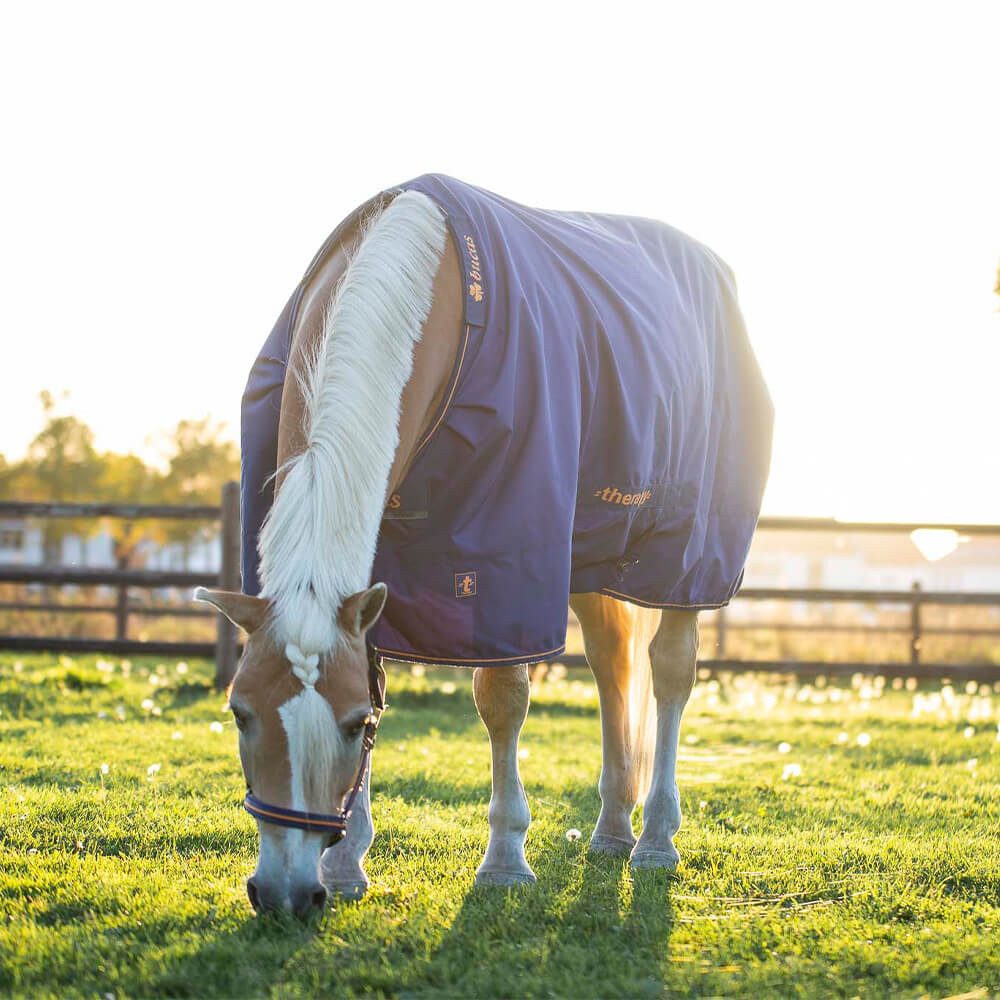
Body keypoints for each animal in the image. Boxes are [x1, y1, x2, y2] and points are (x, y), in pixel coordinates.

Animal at [196, 174, 772, 916]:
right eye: (239, 713)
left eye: (354, 724)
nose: (286, 892)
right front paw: (347, 864)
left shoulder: (502, 568)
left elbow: (502, 699)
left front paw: (503, 859)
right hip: (590, 563)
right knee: (613, 669)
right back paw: (613, 829)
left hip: (686, 562)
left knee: (669, 673)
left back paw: (655, 840)